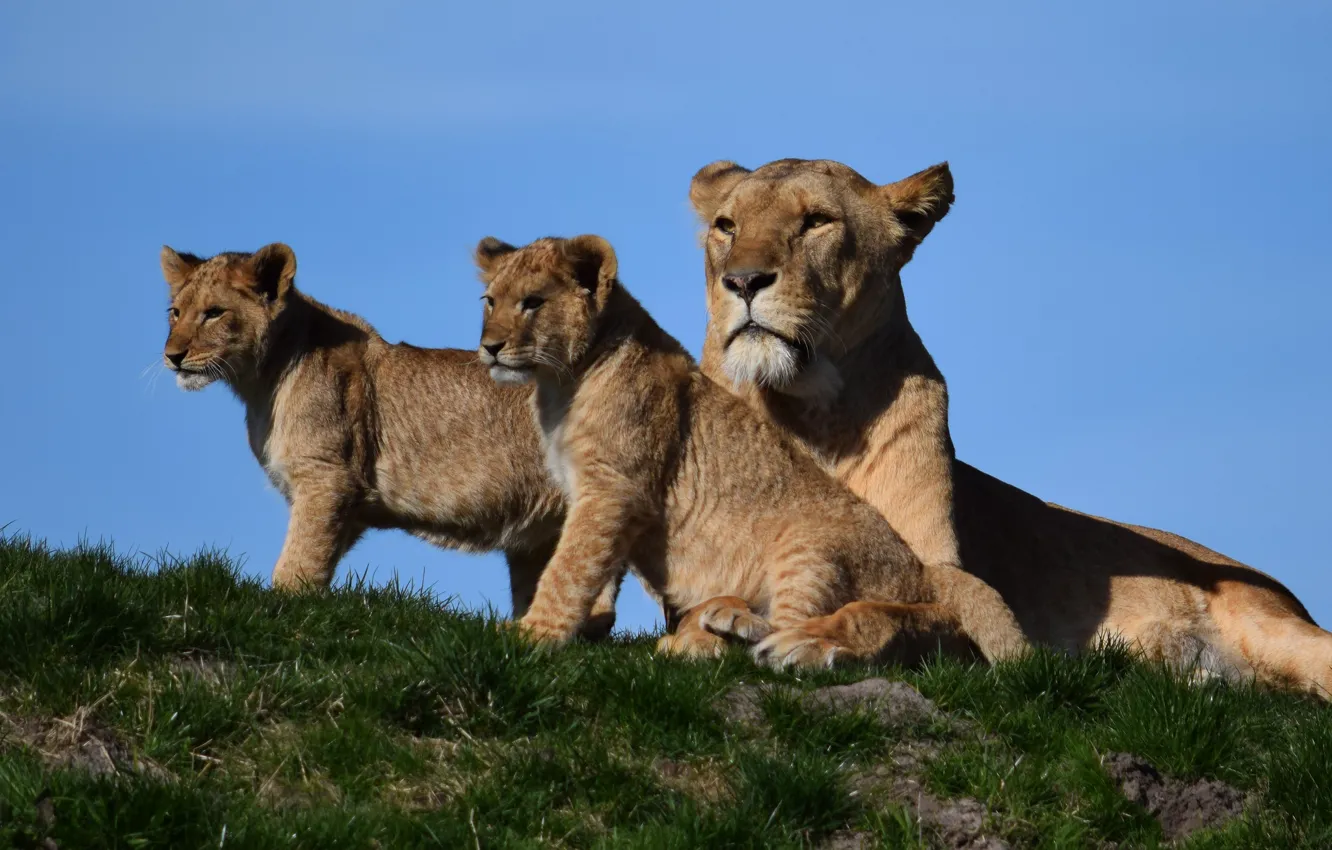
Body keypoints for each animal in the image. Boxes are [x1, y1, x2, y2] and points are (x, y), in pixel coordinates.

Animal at [158, 243, 621, 637]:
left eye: (214, 313)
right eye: (175, 312)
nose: (172, 356)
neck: (260, 380)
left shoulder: (328, 477)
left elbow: (301, 555)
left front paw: (284, 605)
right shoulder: (346, 499)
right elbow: (323, 549)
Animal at [472, 234, 971, 661]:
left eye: (533, 302)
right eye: (490, 301)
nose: (489, 347)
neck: (560, 383)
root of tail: (921, 579)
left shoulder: (613, 490)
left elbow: (569, 567)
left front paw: (535, 633)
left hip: (810, 547)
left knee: (790, 631)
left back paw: (744, 631)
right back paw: (700, 634)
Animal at [686, 157, 1332, 696]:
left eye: (817, 221)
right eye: (726, 226)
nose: (742, 281)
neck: (810, 411)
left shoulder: (967, 609)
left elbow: (895, 614)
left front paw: (812, 638)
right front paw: (718, 626)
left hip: (1278, 633)